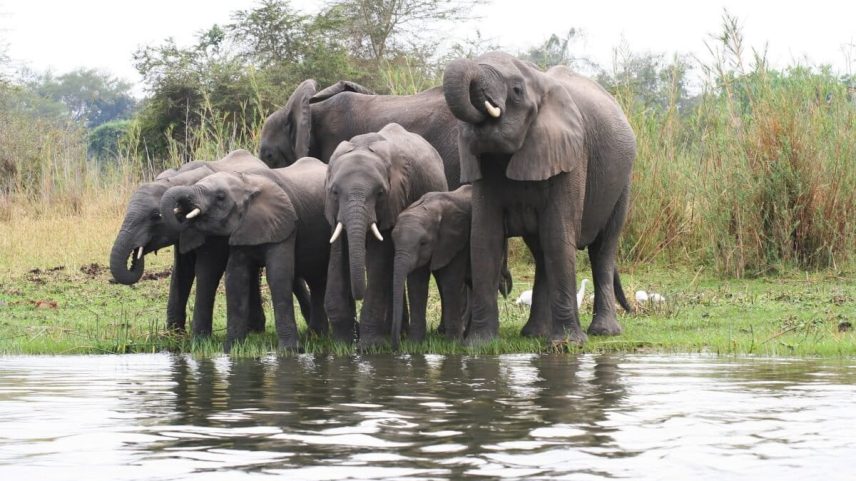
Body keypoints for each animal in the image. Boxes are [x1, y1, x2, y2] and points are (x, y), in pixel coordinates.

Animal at [160, 156, 330, 351]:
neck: (247, 183)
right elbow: (235, 277)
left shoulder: (284, 225)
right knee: (317, 280)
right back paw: (317, 335)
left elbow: (278, 276)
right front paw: (231, 350)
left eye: (220, 197)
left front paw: (289, 351)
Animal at [324, 123, 448, 347]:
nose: (355, 332)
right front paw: (342, 343)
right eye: (335, 192)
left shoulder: (394, 200)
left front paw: (370, 346)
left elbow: (379, 258)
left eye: (380, 193)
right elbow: (338, 255)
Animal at [390, 185, 514, 349]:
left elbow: (450, 281)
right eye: (393, 241)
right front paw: (414, 345)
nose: (397, 345)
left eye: (423, 243)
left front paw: (453, 344)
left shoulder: (456, 241)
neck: (430, 208)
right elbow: (416, 285)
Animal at [443, 51, 635, 345]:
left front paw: (567, 343)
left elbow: (558, 234)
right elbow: (485, 238)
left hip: (621, 184)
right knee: (542, 250)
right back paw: (535, 334)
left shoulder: (572, 154)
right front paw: (478, 344)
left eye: (516, 90)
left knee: (602, 249)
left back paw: (602, 331)